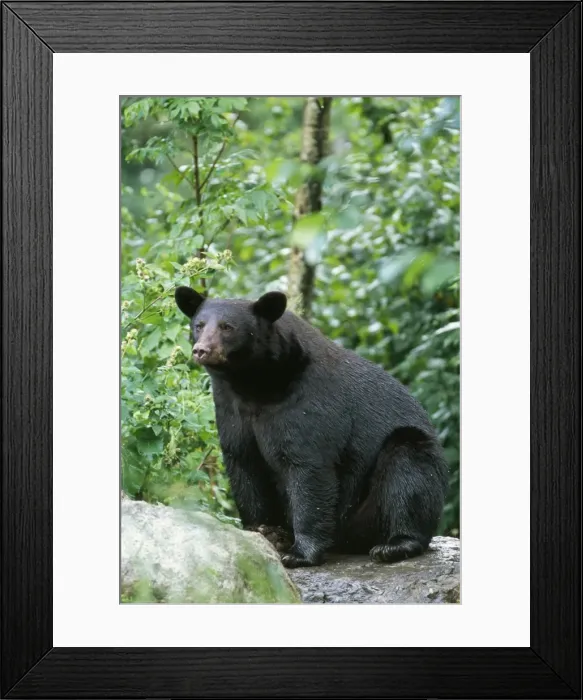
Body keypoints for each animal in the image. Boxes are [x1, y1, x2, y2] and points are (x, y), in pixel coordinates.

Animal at [175, 286, 449, 568]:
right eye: (199, 325)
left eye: (227, 327)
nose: (201, 350)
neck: (254, 383)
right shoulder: (231, 409)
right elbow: (244, 464)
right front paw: (263, 530)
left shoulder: (307, 403)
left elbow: (308, 468)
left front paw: (299, 553)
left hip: (397, 474)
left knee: (407, 469)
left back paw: (394, 545)